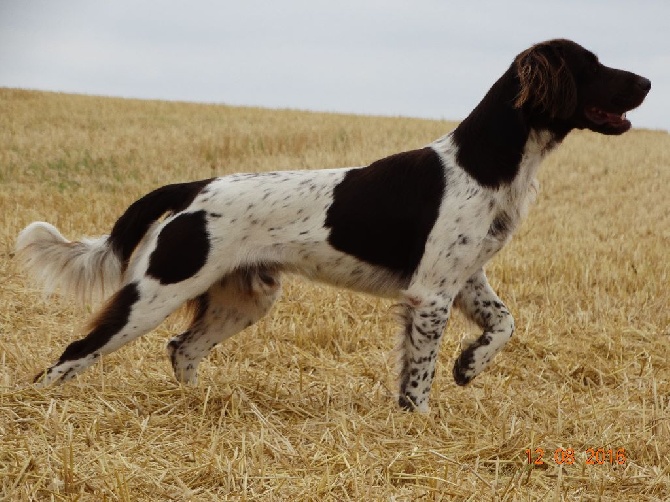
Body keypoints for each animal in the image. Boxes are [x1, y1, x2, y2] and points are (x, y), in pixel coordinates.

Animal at [17, 37, 652, 410]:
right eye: (592, 65)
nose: (647, 82)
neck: (486, 160)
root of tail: (195, 187)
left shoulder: (465, 278)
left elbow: (505, 324)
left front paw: (469, 366)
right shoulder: (431, 294)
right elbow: (418, 376)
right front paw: (418, 422)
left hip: (244, 298)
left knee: (182, 349)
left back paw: (197, 407)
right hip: (156, 291)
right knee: (74, 351)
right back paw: (41, 413)